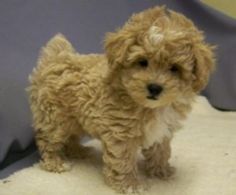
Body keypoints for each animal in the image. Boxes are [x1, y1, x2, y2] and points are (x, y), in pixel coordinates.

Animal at [28, 6, 216, 193]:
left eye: (174, 68)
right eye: (142, 62)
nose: (154, 88)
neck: (148, 106)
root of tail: (56, 59)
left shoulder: (162, 130)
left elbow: (160, 151)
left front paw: (161, 171)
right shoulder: (120, 133)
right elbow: (123, 160)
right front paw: (130, 184)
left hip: (74, 118)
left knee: (72, 136)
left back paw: (79, 151)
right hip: (55, 118)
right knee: (48, 139)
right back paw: (54, 163)